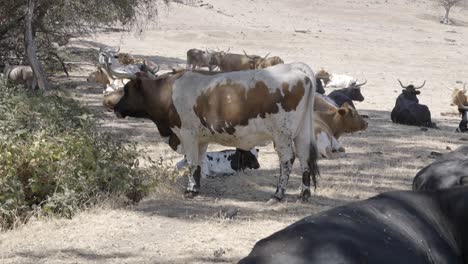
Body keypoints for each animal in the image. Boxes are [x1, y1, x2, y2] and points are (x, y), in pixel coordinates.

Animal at [111, 63, 320, 203]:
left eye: (126, 89)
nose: (116, 107)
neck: (168, 91)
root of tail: (296, 68)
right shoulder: (201, 139)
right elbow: (198, 163)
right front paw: (196, 188)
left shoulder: (187, 133)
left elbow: (191, 162)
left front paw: (190, 191)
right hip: (301, 132)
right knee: (304, 158)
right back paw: (304, 194)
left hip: (282, 134)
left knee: (287, 160)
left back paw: (278, 194)